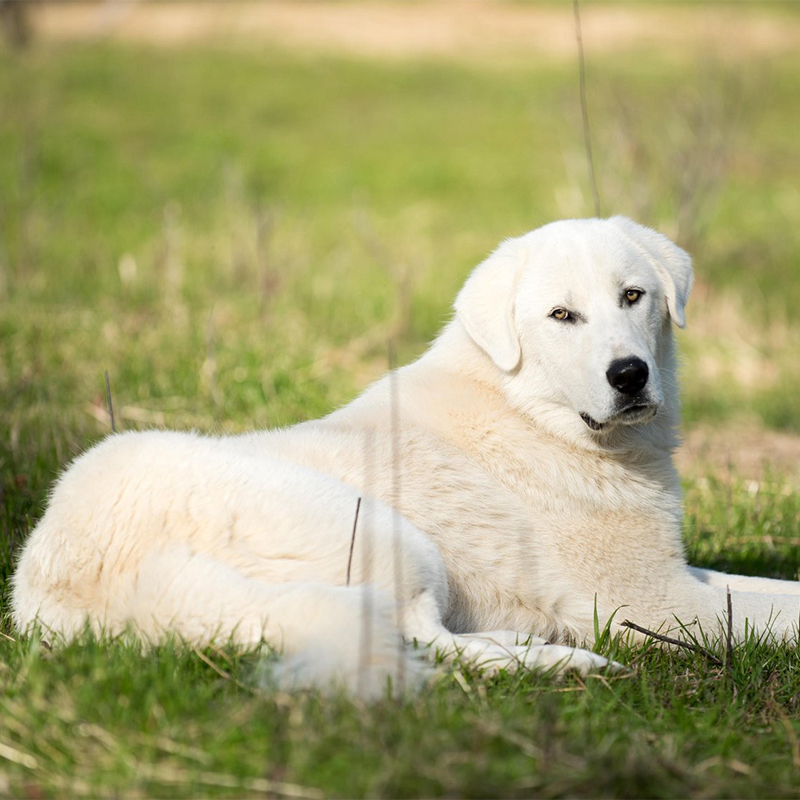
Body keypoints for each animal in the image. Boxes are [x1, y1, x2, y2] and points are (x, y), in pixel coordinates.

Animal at [10, 216, 800, 696]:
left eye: (633, 296)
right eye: (562, 316)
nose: (630, 375)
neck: (531, 411)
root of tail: (95, 580)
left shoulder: (679, 574)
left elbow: (775, 591)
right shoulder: (654, 603)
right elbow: (777, 618)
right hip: (391, 536)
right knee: (424, 640)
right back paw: (564, 659)